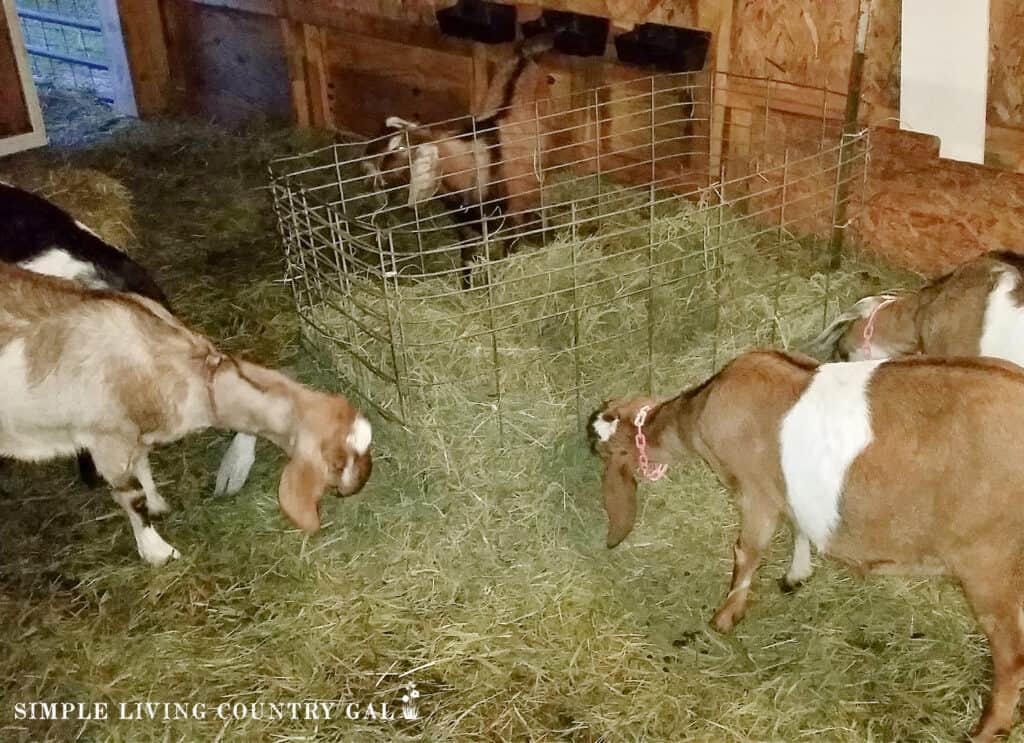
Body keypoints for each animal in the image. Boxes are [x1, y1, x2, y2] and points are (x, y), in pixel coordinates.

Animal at [0, 264, 374, 569]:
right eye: (338, 462)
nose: (361, 484)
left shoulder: (135, 435)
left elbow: (143, 469)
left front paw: (158, 503)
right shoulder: (107, 440)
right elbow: (132, 496)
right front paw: (157, 551)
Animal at [593, 352, 1024, 740]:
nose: (592, 422)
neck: (700, 411)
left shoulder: (755, 493)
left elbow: (746, 553)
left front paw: (724, 618)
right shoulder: (787, 489)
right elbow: (798, 524)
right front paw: (795, 575)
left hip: (987, 564)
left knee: (1011, 656)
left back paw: (985, 731)